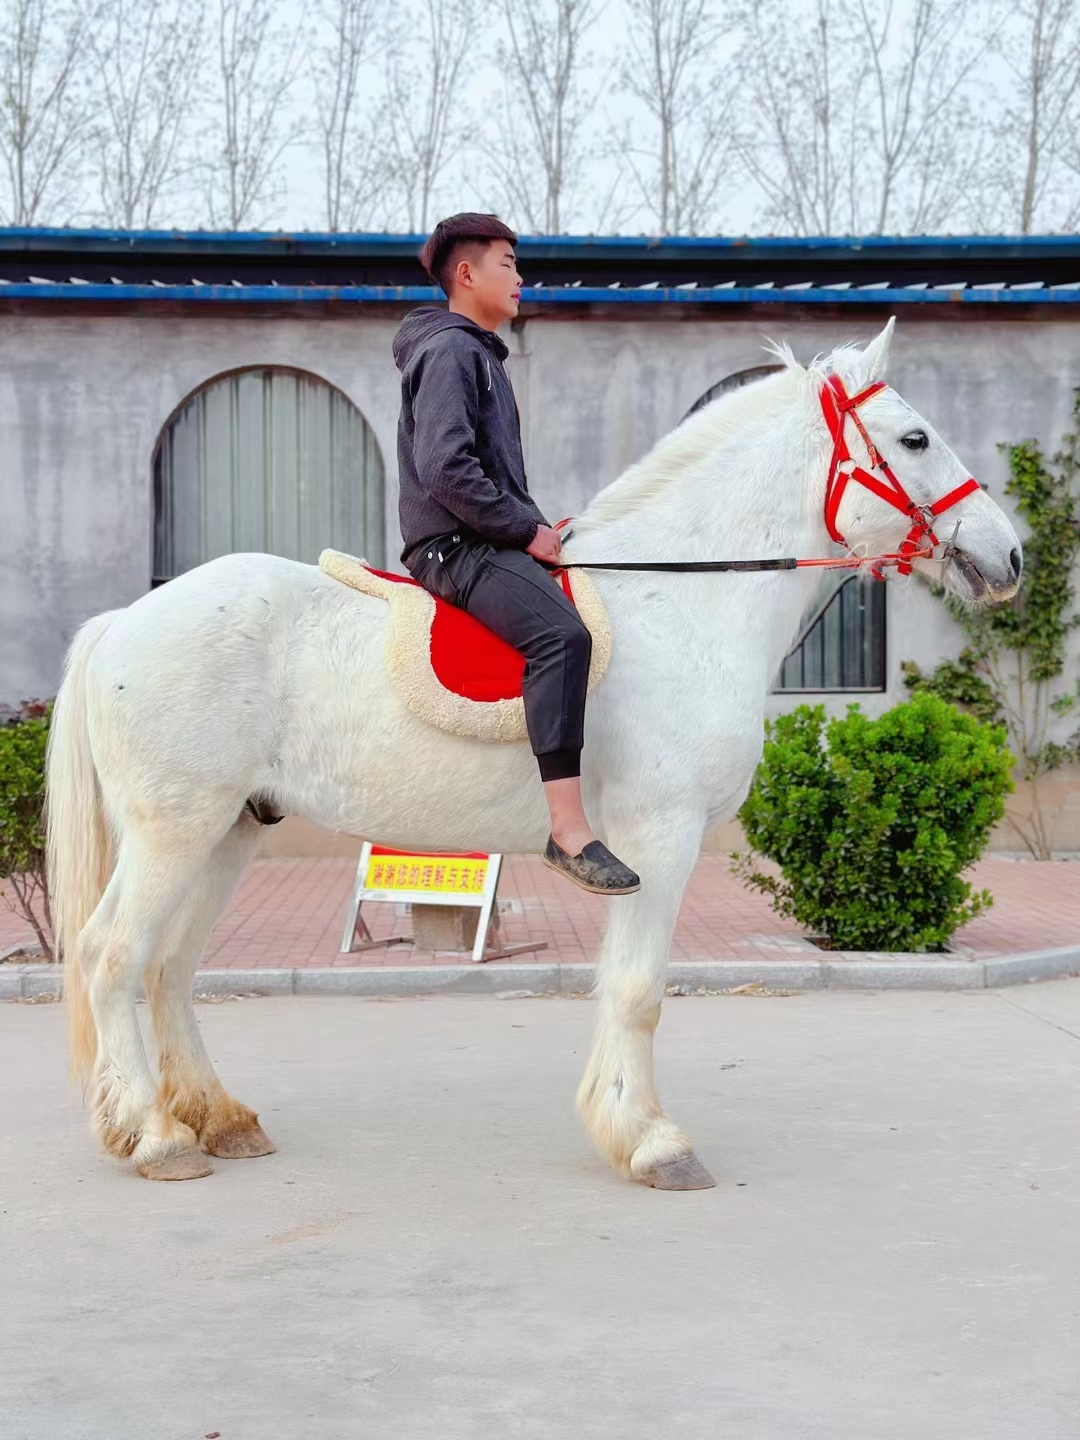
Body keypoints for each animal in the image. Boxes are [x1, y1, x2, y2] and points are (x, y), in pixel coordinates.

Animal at [44, 321, 1025, 1186]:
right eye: (915, 437)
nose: (1009, 554)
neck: (682, 605)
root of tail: (125, 620)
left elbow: (621, 989)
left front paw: (626, 1127)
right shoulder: (661, 840)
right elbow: (638, 992)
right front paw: (653, 1144)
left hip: (228, 832)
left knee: (171, 967)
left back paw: (217, 1120)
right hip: (174, 831)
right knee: (114, 957)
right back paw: (155, 1136)